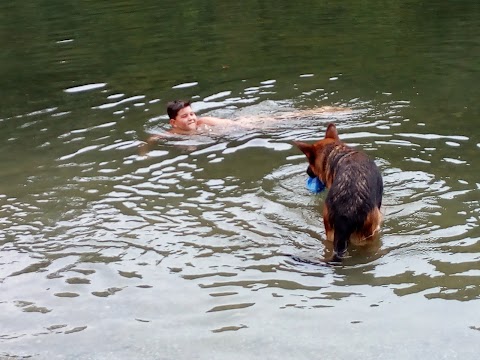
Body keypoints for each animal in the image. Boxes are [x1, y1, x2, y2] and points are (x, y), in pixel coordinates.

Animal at [292, 123, 382, 262]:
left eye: (310, 162)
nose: (307, 172)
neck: (338, 152)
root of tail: (346, 211)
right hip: (368, 232)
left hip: (330, 231)